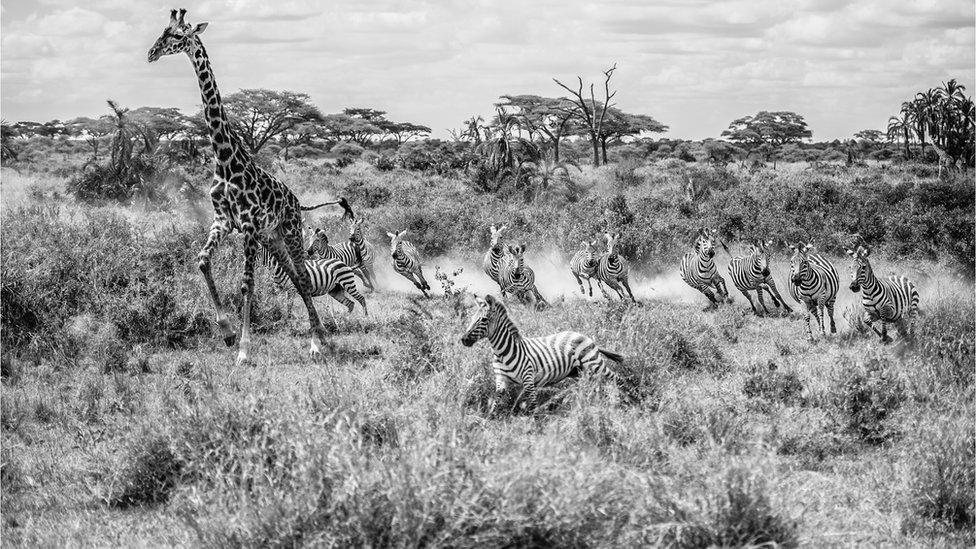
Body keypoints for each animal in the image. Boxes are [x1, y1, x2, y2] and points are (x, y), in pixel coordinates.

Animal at [146, 9, 328, 364]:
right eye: (163, 31)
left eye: (178, 35)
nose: (151, 53)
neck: (225, 158)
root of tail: (295, 200)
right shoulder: (223, 222)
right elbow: (202, 261)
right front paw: (227, 332)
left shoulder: (248, 226)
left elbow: (247, 284)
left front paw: (243, 350)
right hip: (273, 238)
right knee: (297, 278)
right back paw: (319, 334)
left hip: (289, 231)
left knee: (301, 275)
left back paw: (316, 341)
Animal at [462, 294, 620, 414]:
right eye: (471, 318)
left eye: (483, 319)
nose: (463, 339)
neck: (502, 352)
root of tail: (586, 337)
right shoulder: (501, 379)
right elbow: (496, 401)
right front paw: (489, 420)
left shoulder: (528, 379)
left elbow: (532, 405)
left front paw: (534, 425)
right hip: (579, 371)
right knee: (589, 386)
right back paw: (586, 403)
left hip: (595, 364)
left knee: (615, 378)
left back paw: (621, 399)